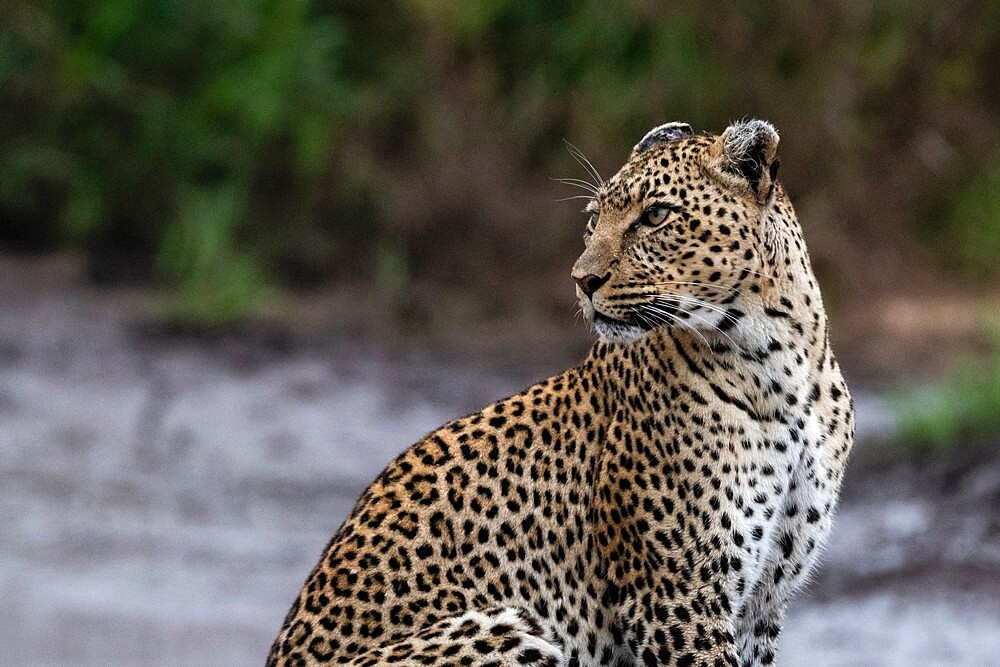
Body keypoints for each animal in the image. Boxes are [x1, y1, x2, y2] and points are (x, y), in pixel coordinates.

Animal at [266, 120, 852, 667]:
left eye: (655, 216)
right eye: (594, 219)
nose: (582, 279)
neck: (781, 365)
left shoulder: (761, 604)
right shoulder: (674, 599)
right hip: (497, 626)